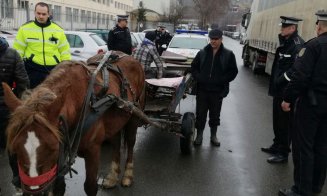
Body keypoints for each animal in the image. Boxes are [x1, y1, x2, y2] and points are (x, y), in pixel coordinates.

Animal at [3, 52, 145, 196]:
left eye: (53, 149)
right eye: (14, 149)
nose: (34, 193)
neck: (79, 101)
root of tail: (128, 56)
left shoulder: (92, 150)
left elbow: (90, 186)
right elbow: (59, 188)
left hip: (135, 111)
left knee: (131, 142)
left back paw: (127, 175)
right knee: (116, 142)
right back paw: (112, 177)